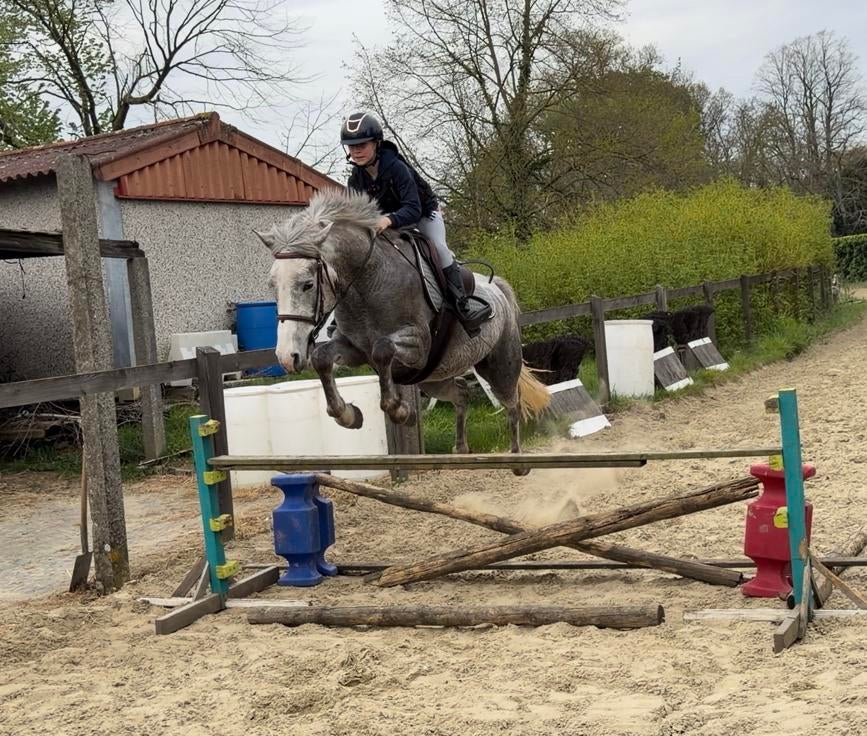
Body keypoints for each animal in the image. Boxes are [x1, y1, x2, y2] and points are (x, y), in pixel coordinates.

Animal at [254, 189, 549, 470]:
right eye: (271, 285)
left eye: (307, 284)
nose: (286, 357)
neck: (367, 283)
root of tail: (496, 287)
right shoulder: (354, 349)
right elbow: (322, 357)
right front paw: (348, 415)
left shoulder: (417, 345)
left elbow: (383, 349)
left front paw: (401, 411)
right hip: (434, 377)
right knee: (461, 392)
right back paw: (461, 448)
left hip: (497, 365)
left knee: (512, 401)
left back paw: (517, 462)